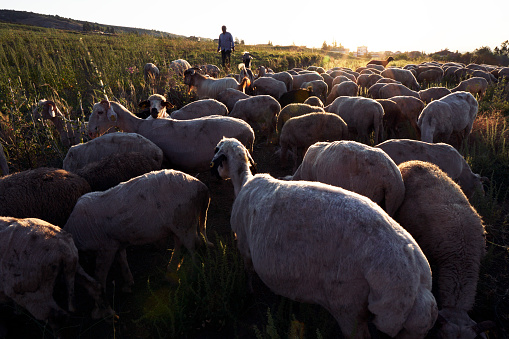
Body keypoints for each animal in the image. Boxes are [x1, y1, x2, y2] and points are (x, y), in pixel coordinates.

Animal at [64, 170, 210, 294]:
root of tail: (201, 186)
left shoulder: (106, 247)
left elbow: (100, 273)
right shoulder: (117, 242)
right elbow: (122, 259)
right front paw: (128, 284)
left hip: (185, 222)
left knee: (194, 247)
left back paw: (195, 276)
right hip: (180, 224)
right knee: (183, 244)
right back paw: (175, 273)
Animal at [209, 138, 436, 339]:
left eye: (217, 150)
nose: (213, 173)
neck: (244, 182)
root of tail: (414, 282)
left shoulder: (244, 244)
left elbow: (248, 272)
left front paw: (250, 294)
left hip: (347, 304)